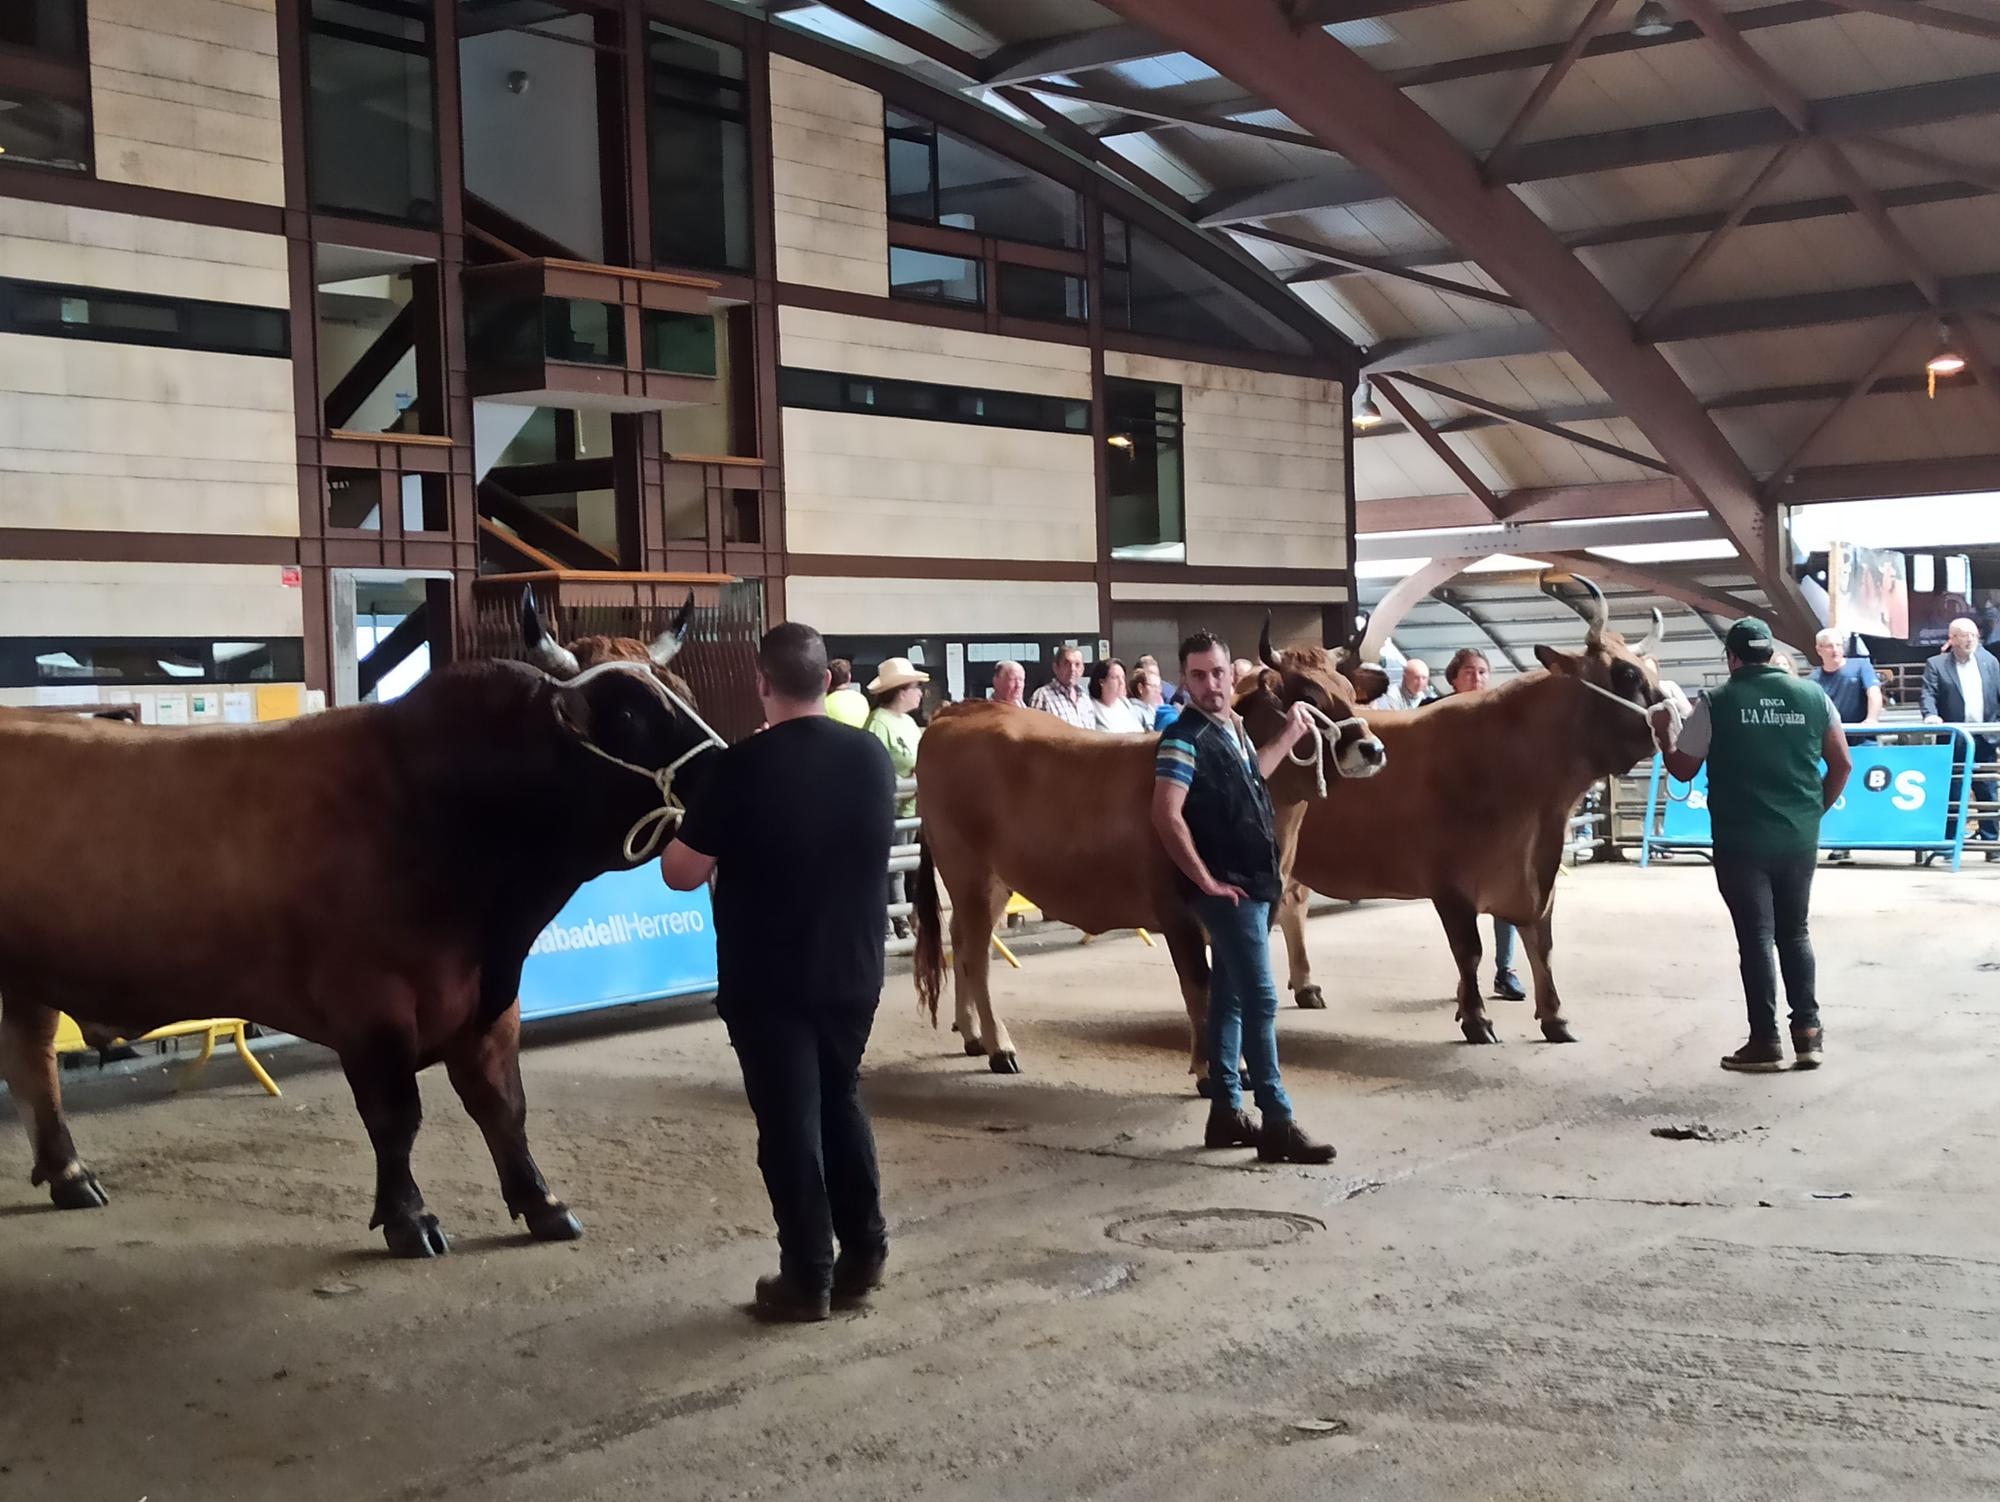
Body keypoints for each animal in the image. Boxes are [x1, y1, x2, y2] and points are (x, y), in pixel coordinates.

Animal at [0, 612, 720, 1256]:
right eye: (628, 716)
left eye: (684, 695)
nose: (724, 772)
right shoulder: (372, 1003)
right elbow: (396, 1117)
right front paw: (409, 1218)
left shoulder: (493, 1000)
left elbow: (502, 1104)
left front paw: (541, 1202)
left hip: (28, 977)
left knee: (33, 1058)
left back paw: (70, 1175)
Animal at [916, 640, 1384, 1088]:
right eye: (1309, 697)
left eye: (1348, 691)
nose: (1374, 748)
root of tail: (958, 710)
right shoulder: (1179, 912)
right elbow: (1199, 987)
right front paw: (1209, 1071)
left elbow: (1231, 988)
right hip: (968, 869)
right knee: (976, 955)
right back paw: (1000, 1047)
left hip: (992, 879)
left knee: (960, 939)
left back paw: (973, 1034)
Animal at [1272, 576, 1664, 1048]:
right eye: (1626, 674)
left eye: (1653, 669)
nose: (1679, 713)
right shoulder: (1451, 885)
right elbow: (1470, 951)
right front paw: (1477, 1019)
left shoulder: (1538, 879)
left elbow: (1542, 946)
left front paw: (1554, 1018)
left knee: (1293, 904)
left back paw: (1307, 986)